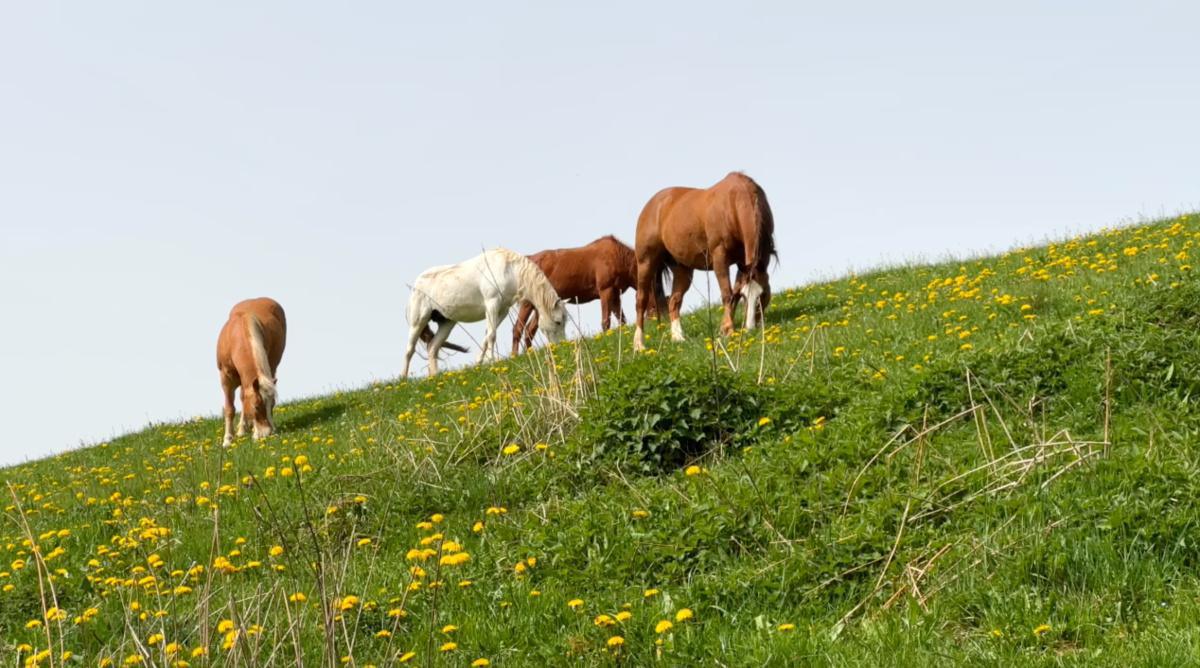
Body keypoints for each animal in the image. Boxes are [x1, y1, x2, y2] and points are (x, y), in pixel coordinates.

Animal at [216, 296, 285, 443]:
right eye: (256, 406)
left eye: (272, 403)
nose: (267, 434)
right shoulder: (225, 379)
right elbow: (229, 409)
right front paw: (227, 440)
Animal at [405, 248, 568, 376]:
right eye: (558, 322)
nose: (561, 346)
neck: (508, 270)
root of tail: (415, 285)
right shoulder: (492, 304)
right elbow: (492, 336)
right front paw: (492, 362)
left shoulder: (502, 311)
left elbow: (487, 335)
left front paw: (480, 362)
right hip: (418, 321)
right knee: (409, 350)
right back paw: (404, 379)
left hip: (447, 323)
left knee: (433, 348)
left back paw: (434, 376)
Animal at [508, 233, 652, 354]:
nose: (652, 319)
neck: (619, 256)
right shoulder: (606, 290)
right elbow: (606, 321)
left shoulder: (615, 294)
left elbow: (622, 320)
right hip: (527, 303)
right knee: (518, 329)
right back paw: (515, 355)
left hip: (541, 305)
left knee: (529, 330)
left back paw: (529, 353)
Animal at [628, 169, 777, 352]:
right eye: (745, 296)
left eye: (762, 294)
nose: (750, 328)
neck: (735, 202)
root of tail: (652, 204)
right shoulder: (720, 256)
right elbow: (728, 294)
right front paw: (728, 329)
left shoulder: (743, 263)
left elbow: (733, 292)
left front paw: (724, 328)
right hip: (645, 262)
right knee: (641, 300)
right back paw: (639, 344)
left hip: (682, 268)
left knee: (674, 301)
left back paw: (678, 337)